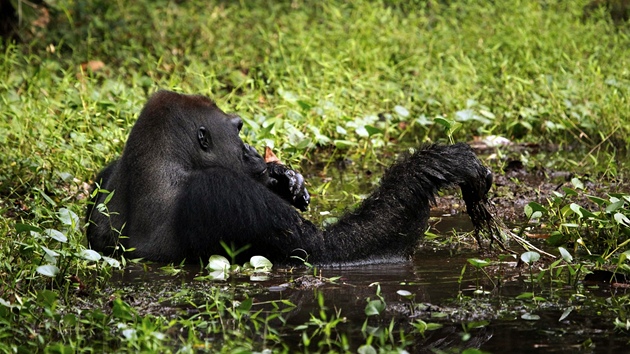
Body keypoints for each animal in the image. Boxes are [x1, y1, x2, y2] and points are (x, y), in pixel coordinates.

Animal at [85, 91, 498, 266]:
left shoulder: (105, 175)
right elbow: (327, 251)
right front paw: (428, 167)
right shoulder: (220, 190)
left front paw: (283, 178)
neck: (160, 164)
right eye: (238, 130)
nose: (253, 151)